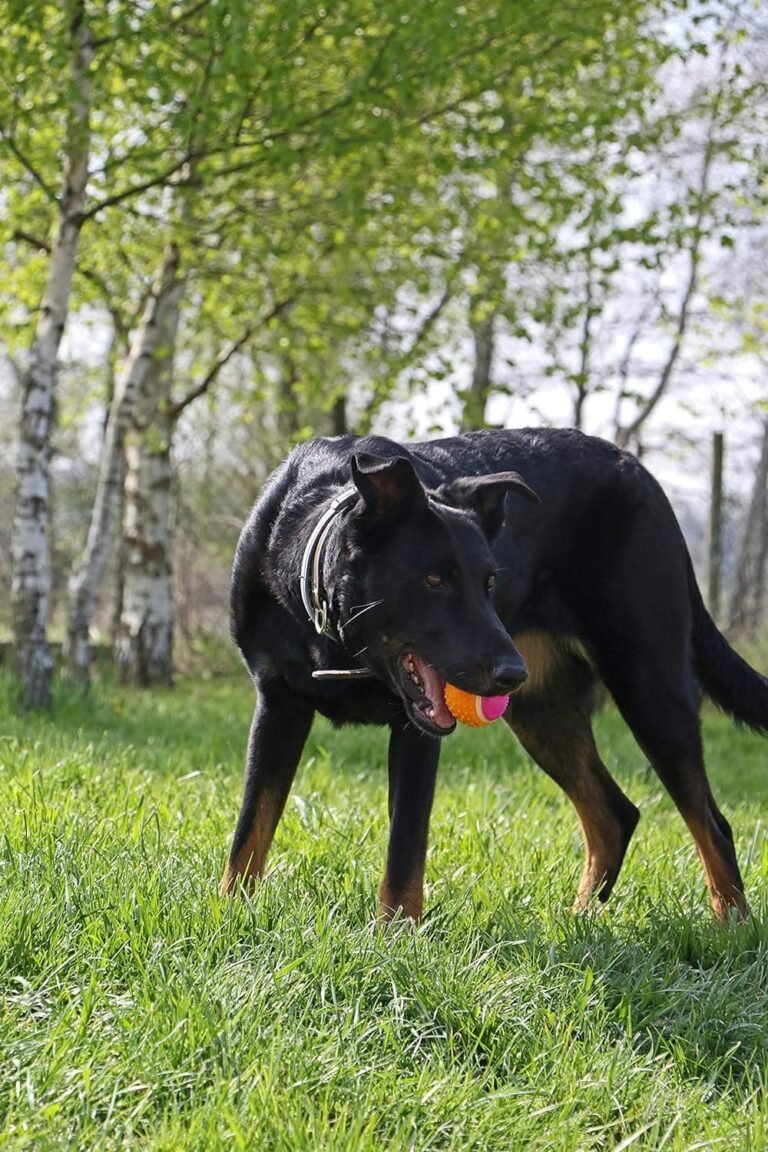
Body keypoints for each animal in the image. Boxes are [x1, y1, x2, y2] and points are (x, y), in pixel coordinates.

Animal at [222, 428, 768, 921]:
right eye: (434, 580)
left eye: (489, 581)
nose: (511, 672)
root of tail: (641, 473)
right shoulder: (277, 706)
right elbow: (250, 829)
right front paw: (231, 918)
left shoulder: (416, 733)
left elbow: (404, 852)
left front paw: (395, 939)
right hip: (541, 712)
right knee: (614, 814)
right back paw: (580, 918)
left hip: (650, 684)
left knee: (712, 824)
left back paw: (731, 927)